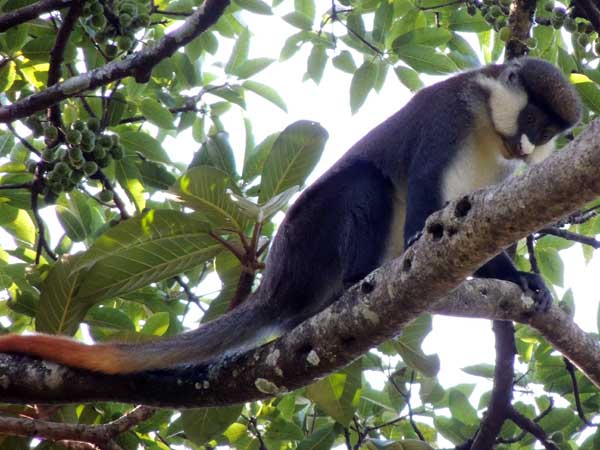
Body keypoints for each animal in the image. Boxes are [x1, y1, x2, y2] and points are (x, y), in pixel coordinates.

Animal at [0, 57, 580, 372]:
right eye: (532, 119)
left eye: (549, 132)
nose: (529, 146)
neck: (489, 125)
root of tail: (275, 282)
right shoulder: (450, 114)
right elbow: (425, 198)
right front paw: (425, 243)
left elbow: (478, 229)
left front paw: (522, 279)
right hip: (310, 241)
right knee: (364, 183)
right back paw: (355, 281)